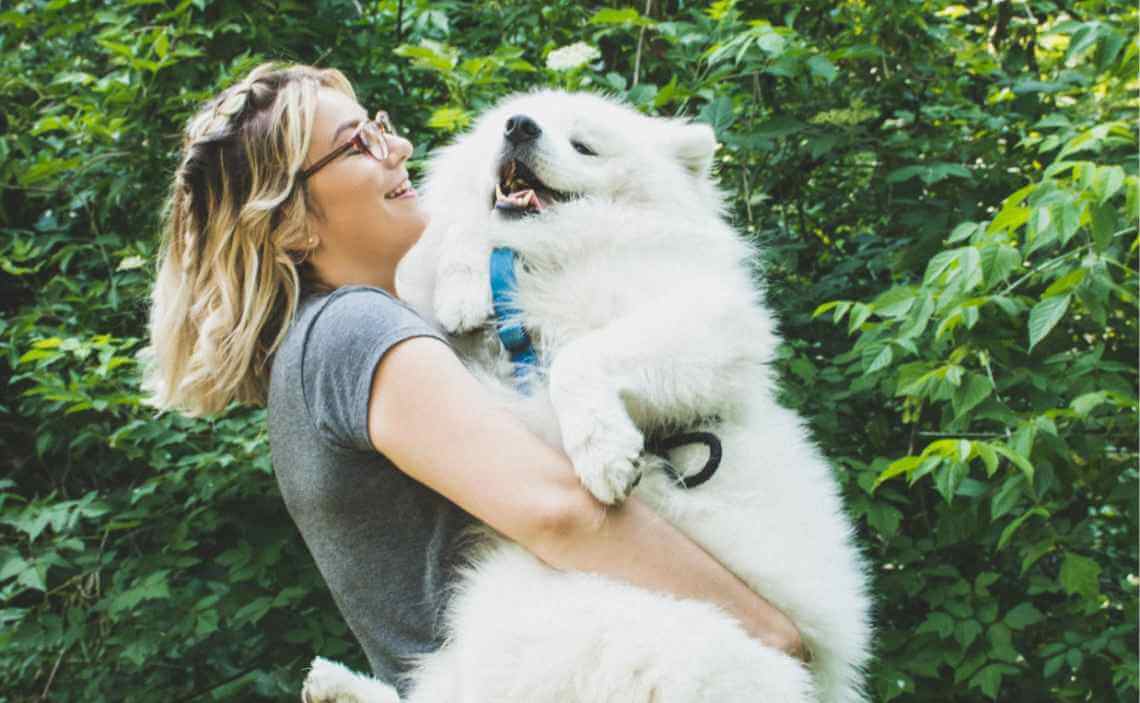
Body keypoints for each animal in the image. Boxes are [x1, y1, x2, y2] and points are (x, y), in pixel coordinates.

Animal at [300, 90, 870, 697]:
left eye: (584, 145)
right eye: (510, 124)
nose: (519, 127)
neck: (543, 263)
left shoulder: (704, 323)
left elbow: (582, 357)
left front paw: (605, 454)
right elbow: (459, 237)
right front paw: (462, 288)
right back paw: (334, 683)